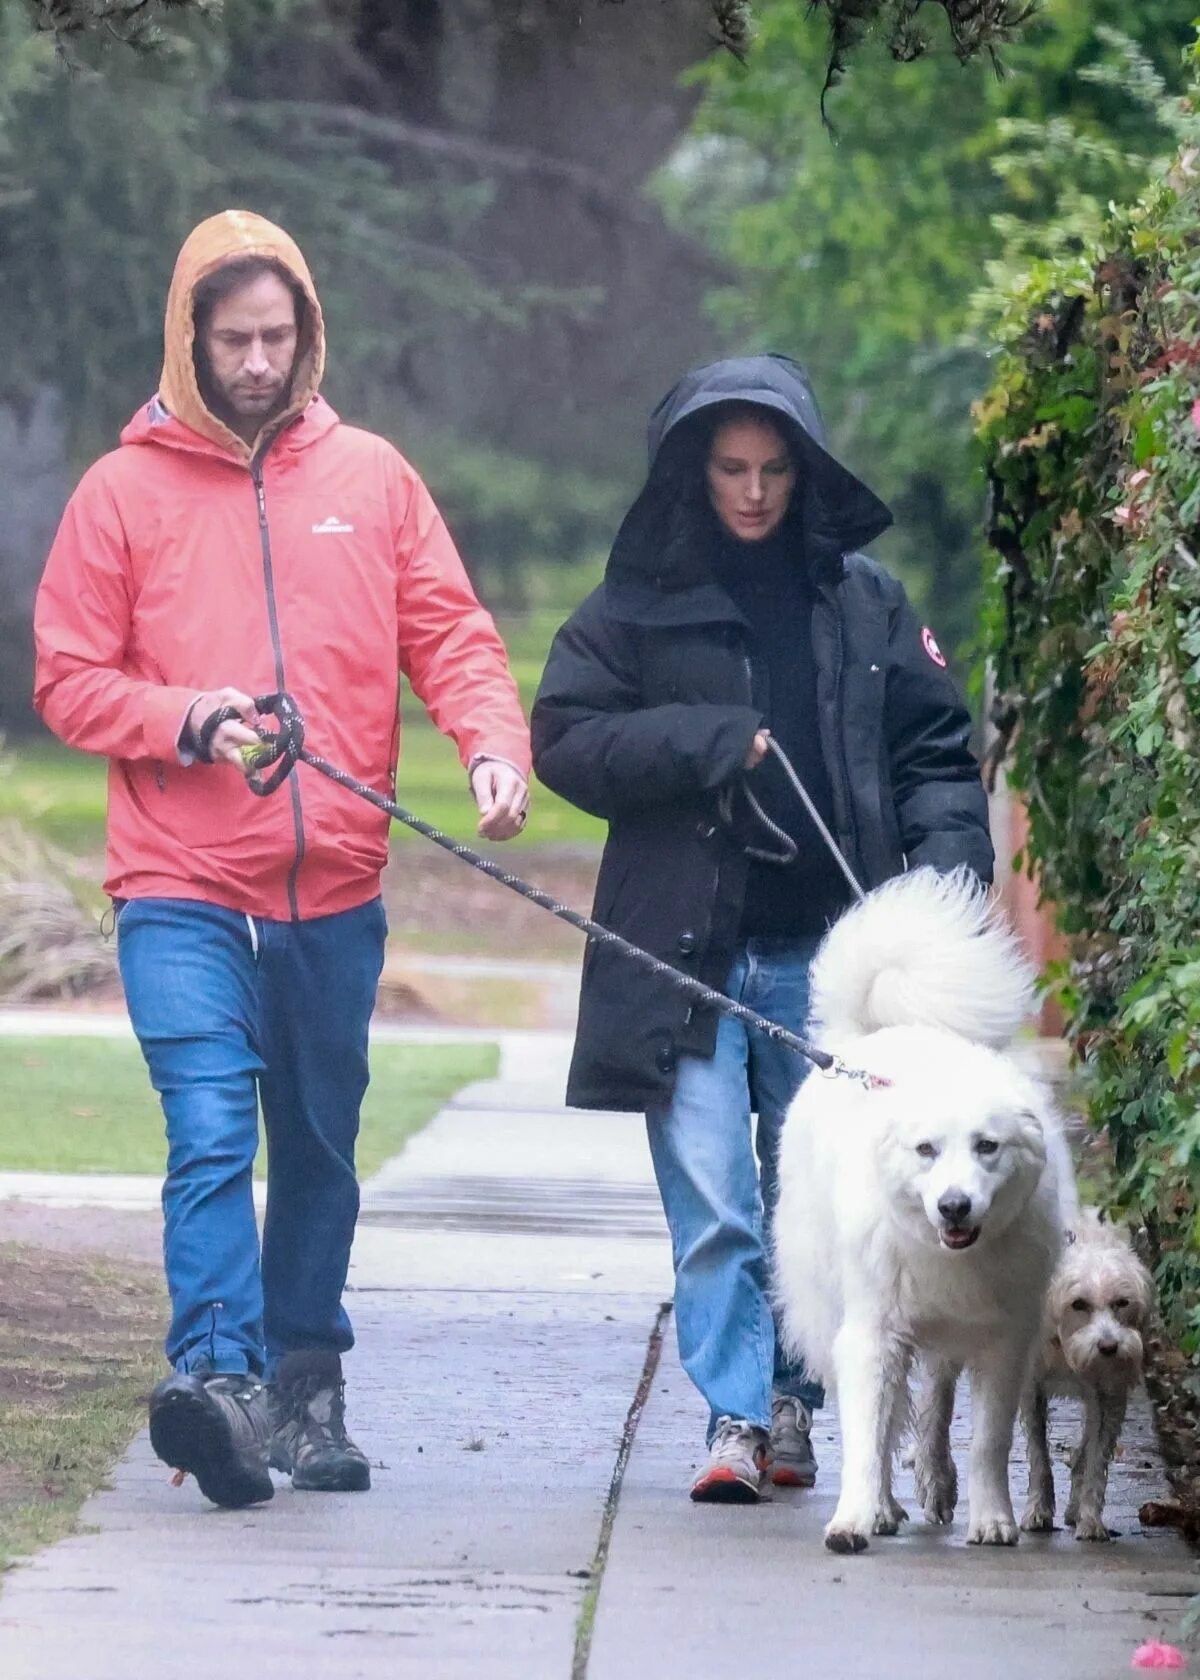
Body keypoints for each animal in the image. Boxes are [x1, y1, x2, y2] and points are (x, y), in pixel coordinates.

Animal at [769, 873, 1068, 1552]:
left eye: (987, 1146)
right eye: (926, 1150)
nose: (954, 1206)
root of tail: (861, 1041)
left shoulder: (1003, 1342)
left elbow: (989, 1441)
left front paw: (993, 1519)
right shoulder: (871, 1335)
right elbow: (867, 1438)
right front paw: (854, 1517)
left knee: (934, 1404)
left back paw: (936, 1485)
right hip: (837, 1312)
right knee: (889, 1420)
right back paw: (883, 1507)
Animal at [1021, 1209, 1149, 1545]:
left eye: (1122, 1302)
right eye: (1078, 1304)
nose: (1109, 1347)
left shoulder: (1109, 1395)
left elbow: (1095, 1460)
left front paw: (1090, 1520)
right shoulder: (1031, 1388)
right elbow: (1039, 1455)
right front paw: (1038, 1510)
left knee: (1084, 1451)